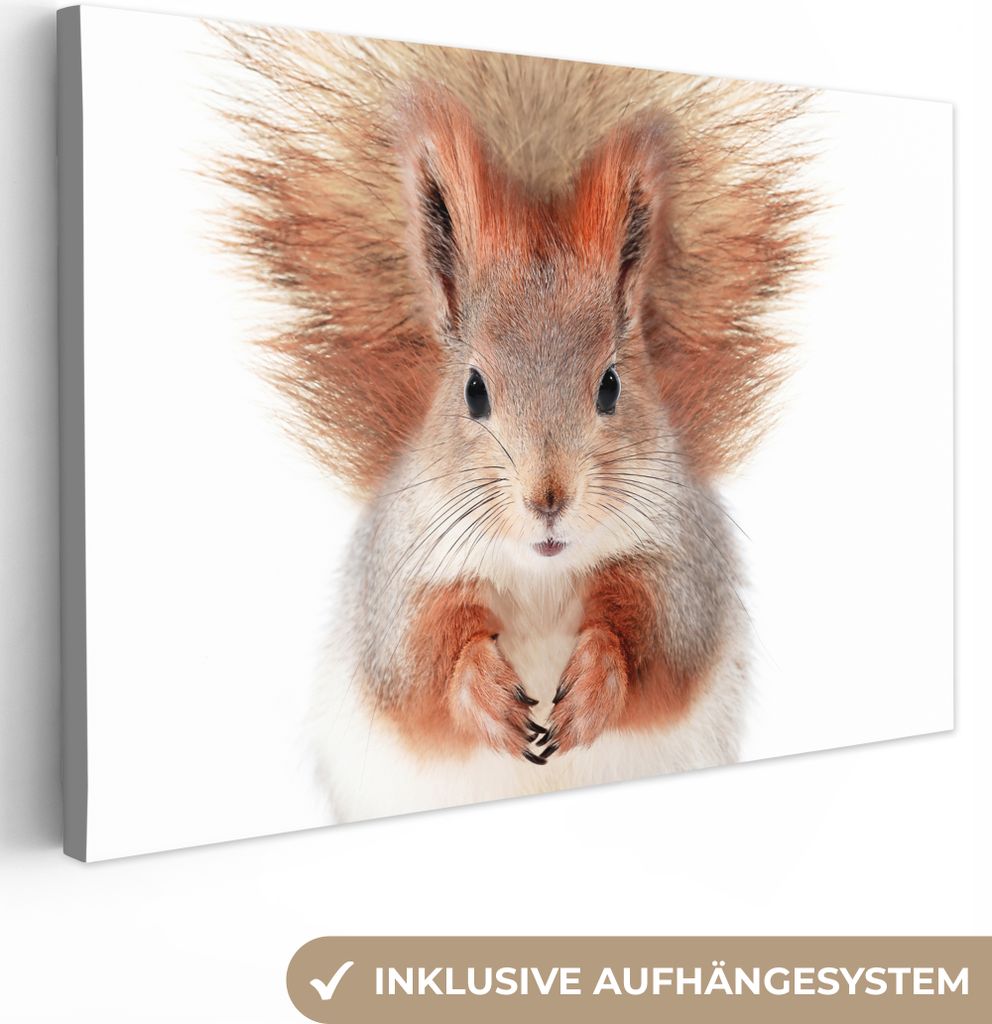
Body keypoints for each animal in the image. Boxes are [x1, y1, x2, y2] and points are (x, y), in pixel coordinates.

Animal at [210, 25, 815, 821]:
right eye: (473, 390)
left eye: (612, 385)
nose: (548, 497)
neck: (539, 572)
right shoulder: (399, 577)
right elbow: (417, 661)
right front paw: (483, 692)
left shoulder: (683, 558)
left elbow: (661, 635)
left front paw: (593, 686)